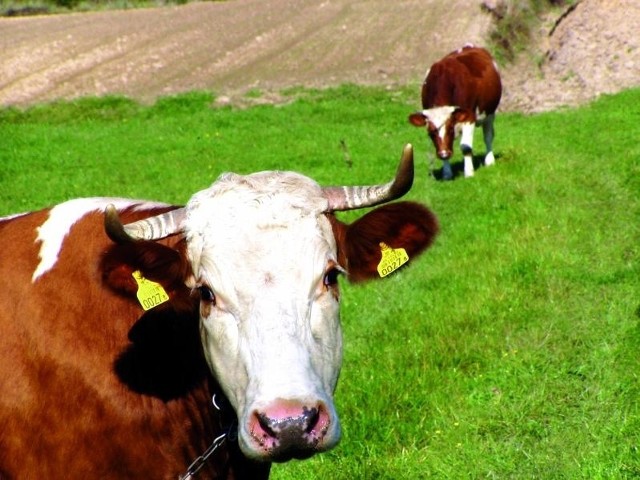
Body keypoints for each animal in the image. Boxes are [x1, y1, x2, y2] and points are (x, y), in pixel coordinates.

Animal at [408, 44, 502, 180]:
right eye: (431, 133)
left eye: (450, 129)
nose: (443, 154)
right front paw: (447, 174)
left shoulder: (469, 116)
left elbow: (466, 147)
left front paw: (469, 173)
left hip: (490, 113)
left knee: (488, 136)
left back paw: (489, 160)